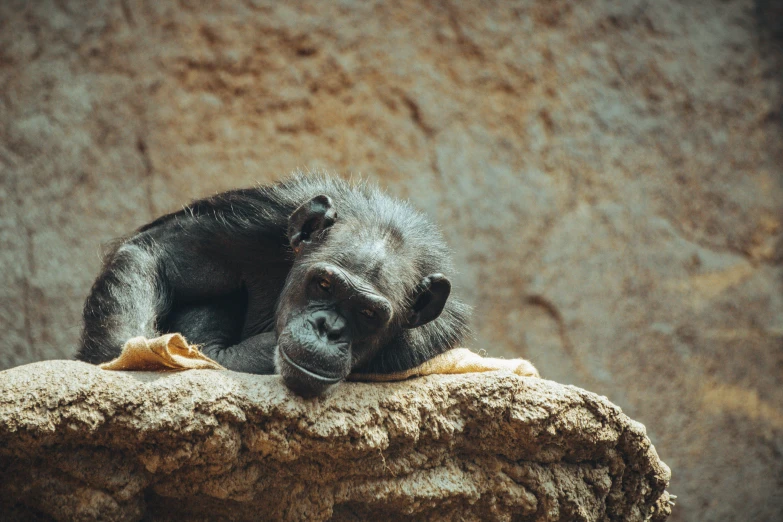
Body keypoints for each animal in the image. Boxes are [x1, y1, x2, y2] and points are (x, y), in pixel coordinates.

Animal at [78, 175, 472, 394]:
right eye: (324, 285)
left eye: (368, 313)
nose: (328, 329)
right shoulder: (260, 217)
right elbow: (159, 251)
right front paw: (128, 354)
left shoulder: (413, 348)